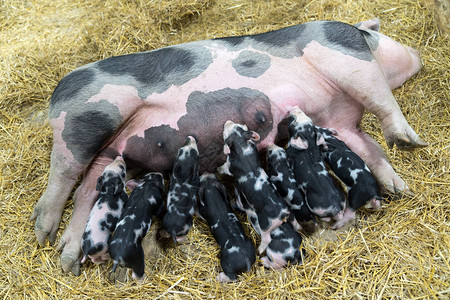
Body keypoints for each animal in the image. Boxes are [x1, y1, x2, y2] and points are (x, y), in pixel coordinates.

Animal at [30, 18, 426, 274]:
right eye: (382, 37)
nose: (418, 53)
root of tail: (55, 93)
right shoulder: (341, 49)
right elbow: (383, 97)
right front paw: (411, 142)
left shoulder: (340, 122)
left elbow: (370, 148)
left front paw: (399, 187)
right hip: (86, 119)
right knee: (64, 170)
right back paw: (42, 232)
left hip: (115, 152)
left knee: (89, 185)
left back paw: (67, 259)